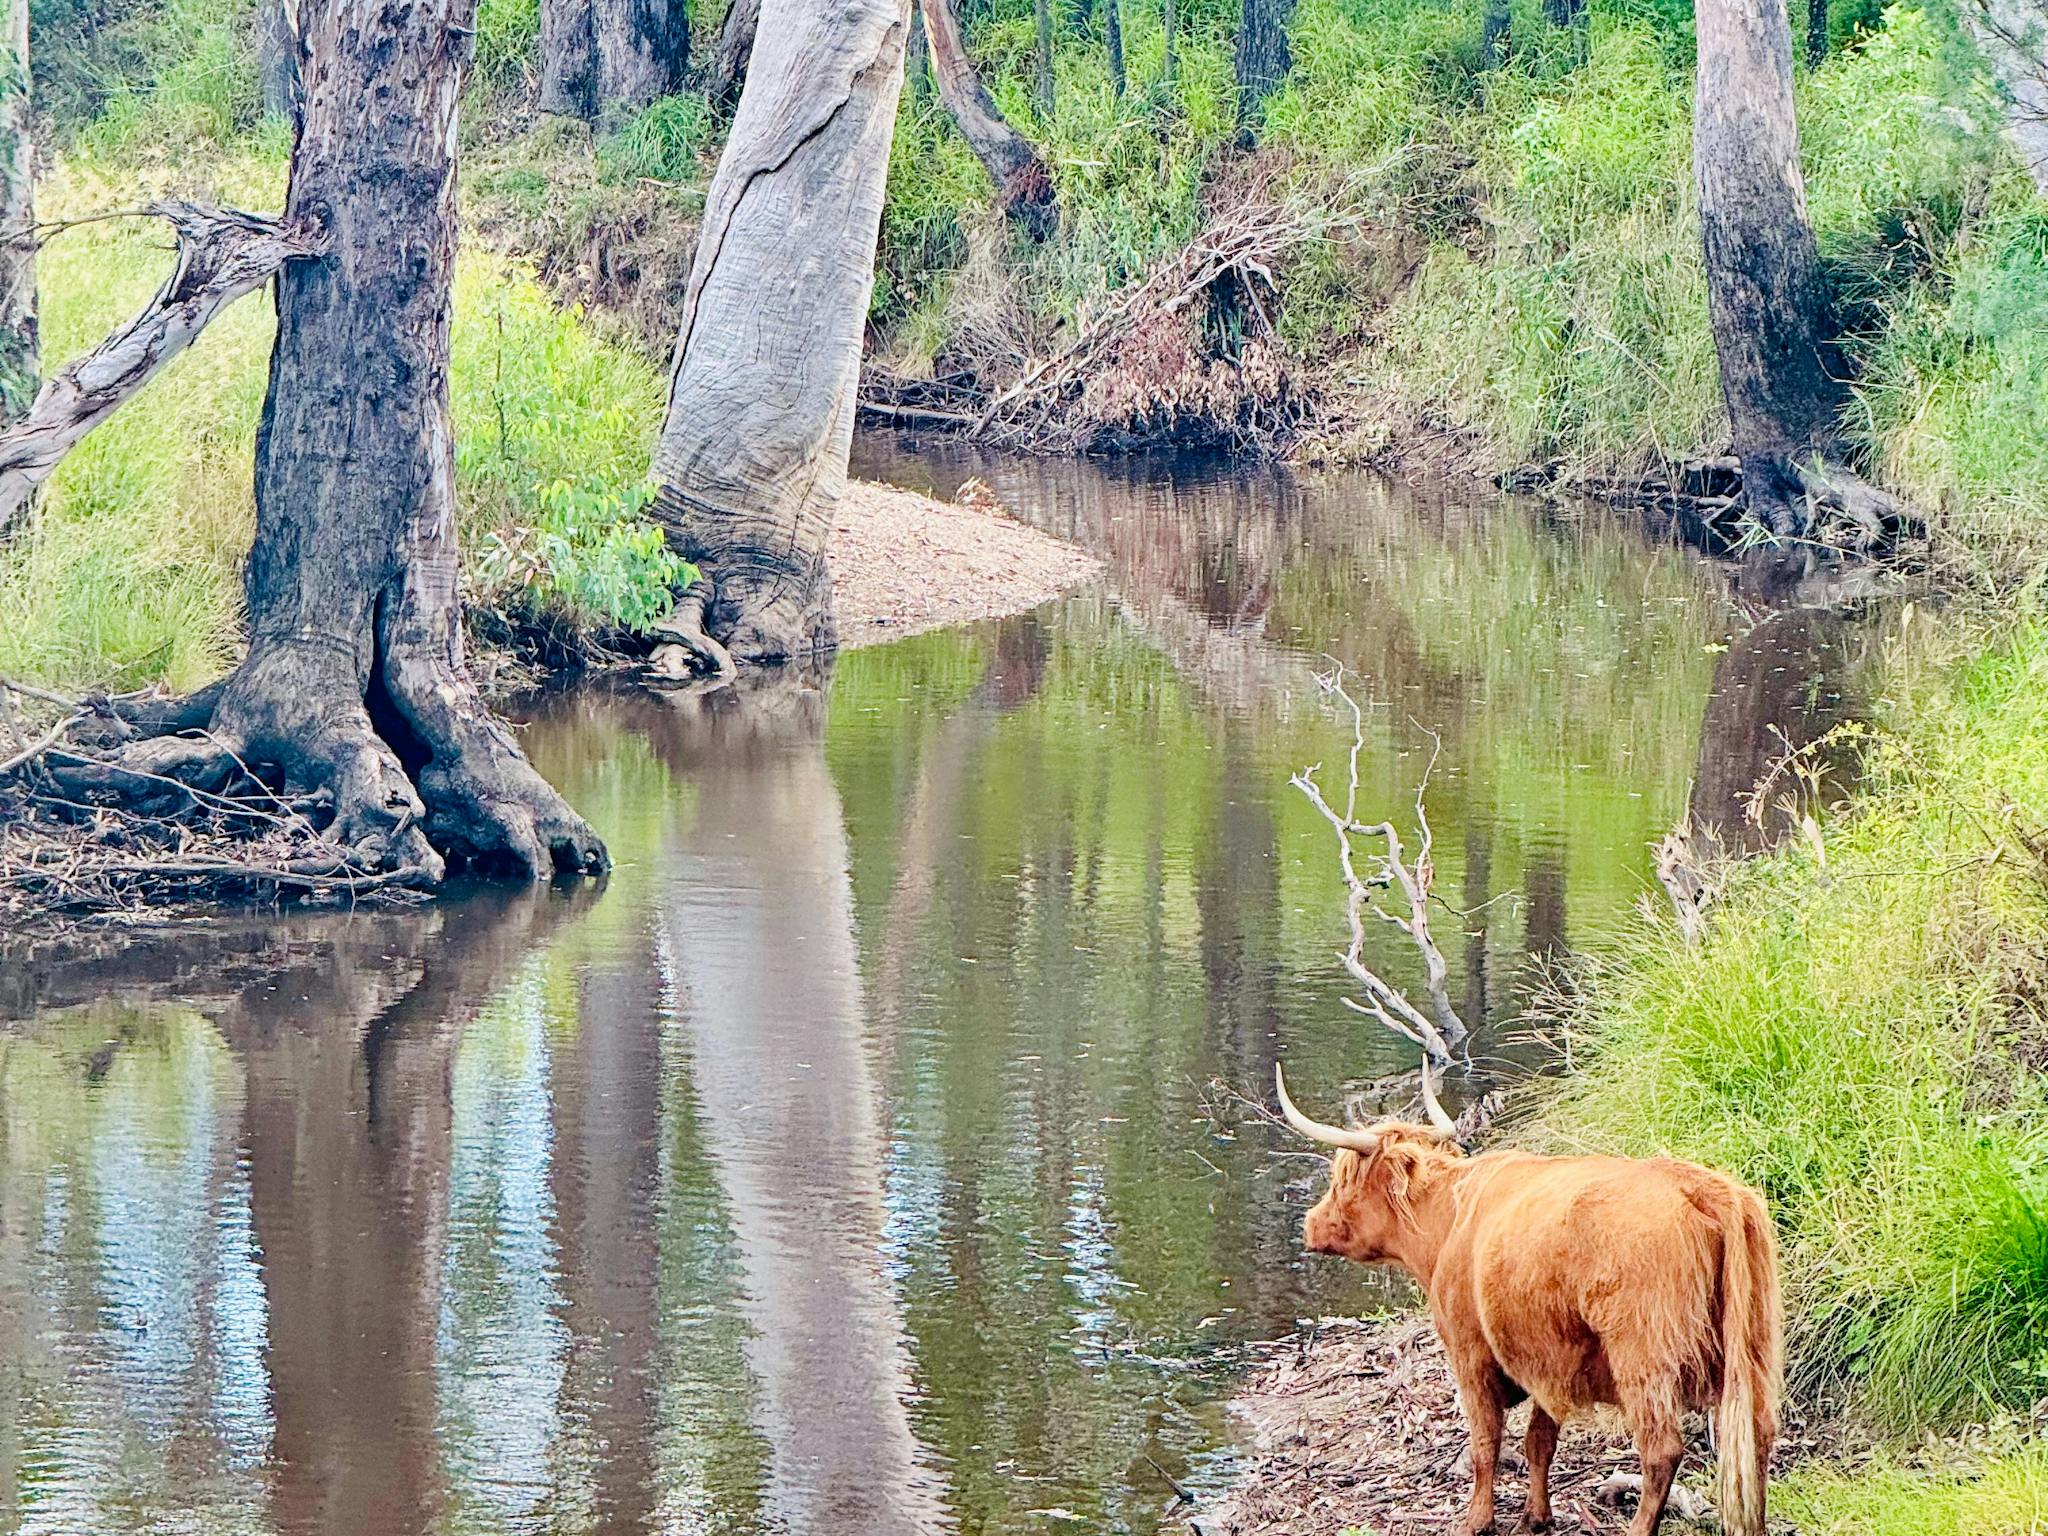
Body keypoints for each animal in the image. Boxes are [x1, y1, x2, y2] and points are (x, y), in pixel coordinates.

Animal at [1275, 1064, 1782, 1536]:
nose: (1310, 1223)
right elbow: (1539, 1439)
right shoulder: (1546, 1360)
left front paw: (1477, 1520)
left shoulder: (1470, 1352)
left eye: (1342, 1179)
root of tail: (1697, 1184)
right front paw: (1535, 1516)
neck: (1448, 1220)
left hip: (1643, 1354)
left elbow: (1486, 1442)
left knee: (1661, 1450)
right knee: (1755, 1434)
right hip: (1752, 1346)